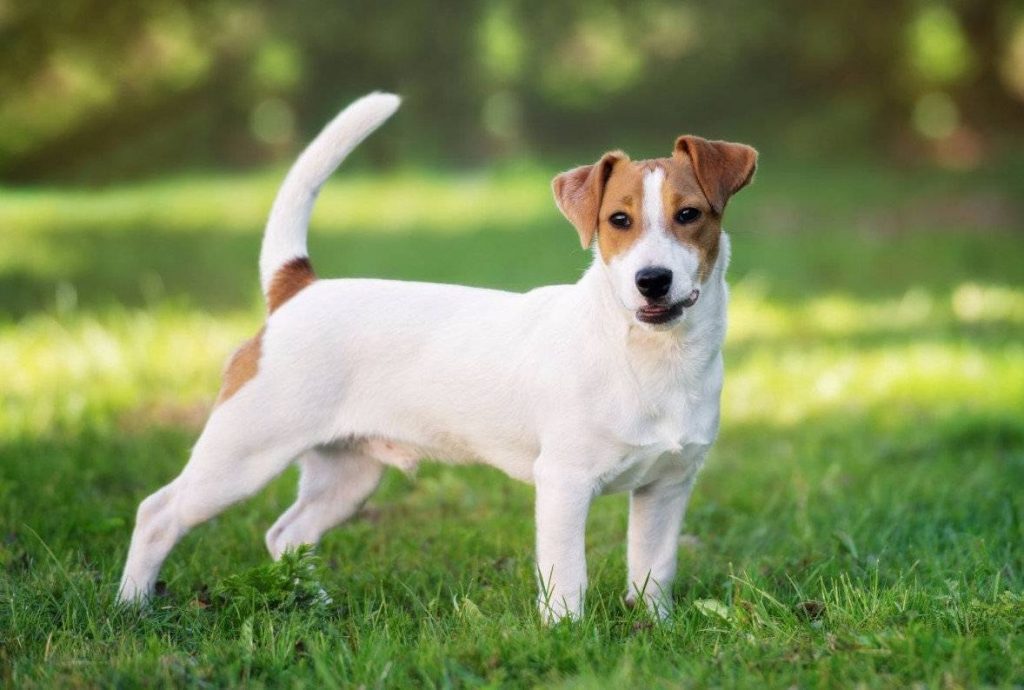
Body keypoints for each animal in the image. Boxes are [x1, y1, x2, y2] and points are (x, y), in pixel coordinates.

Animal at [121, 88, 761, 622]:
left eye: (689, 215)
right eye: (617, 221)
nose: (652, 281)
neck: (652, 358)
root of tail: (296, 290)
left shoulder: (666, 489)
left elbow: (654, 571)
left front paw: (656, 628)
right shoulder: (564, 484)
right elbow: (567, 578)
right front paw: (566, 633)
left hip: (346, 476)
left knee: (289, 535)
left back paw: (316, 605)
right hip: (241, 455)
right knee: (158, 513)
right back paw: (131, 607)